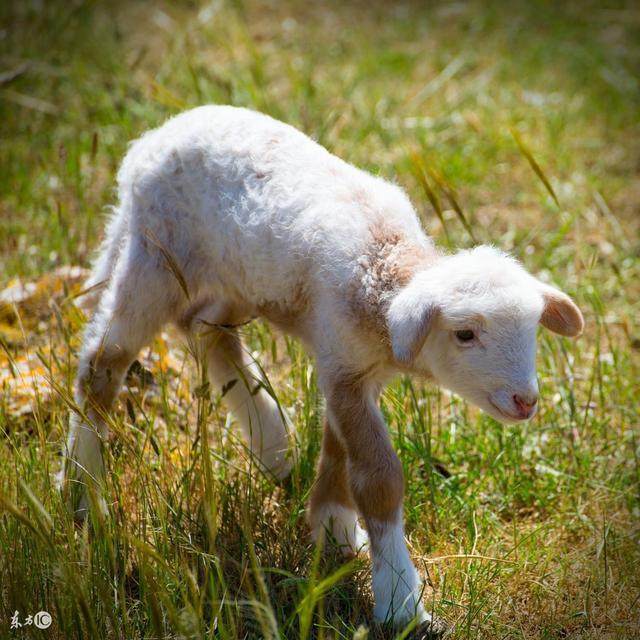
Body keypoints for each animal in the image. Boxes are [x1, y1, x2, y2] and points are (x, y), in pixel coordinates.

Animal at [61, 105, 584, 636]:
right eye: (464, 334)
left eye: (533, 329)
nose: (525, 401)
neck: (383, 270)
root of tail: (150, 142)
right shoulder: (343, 366)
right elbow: (377, 478)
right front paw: (399, 601)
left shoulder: (350, 366)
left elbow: (338, 453)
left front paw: (334, 531)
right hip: (155, 258)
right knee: (102, 362)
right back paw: (81, 490)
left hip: (235, 278)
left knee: (208, 331)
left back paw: (272, 445)